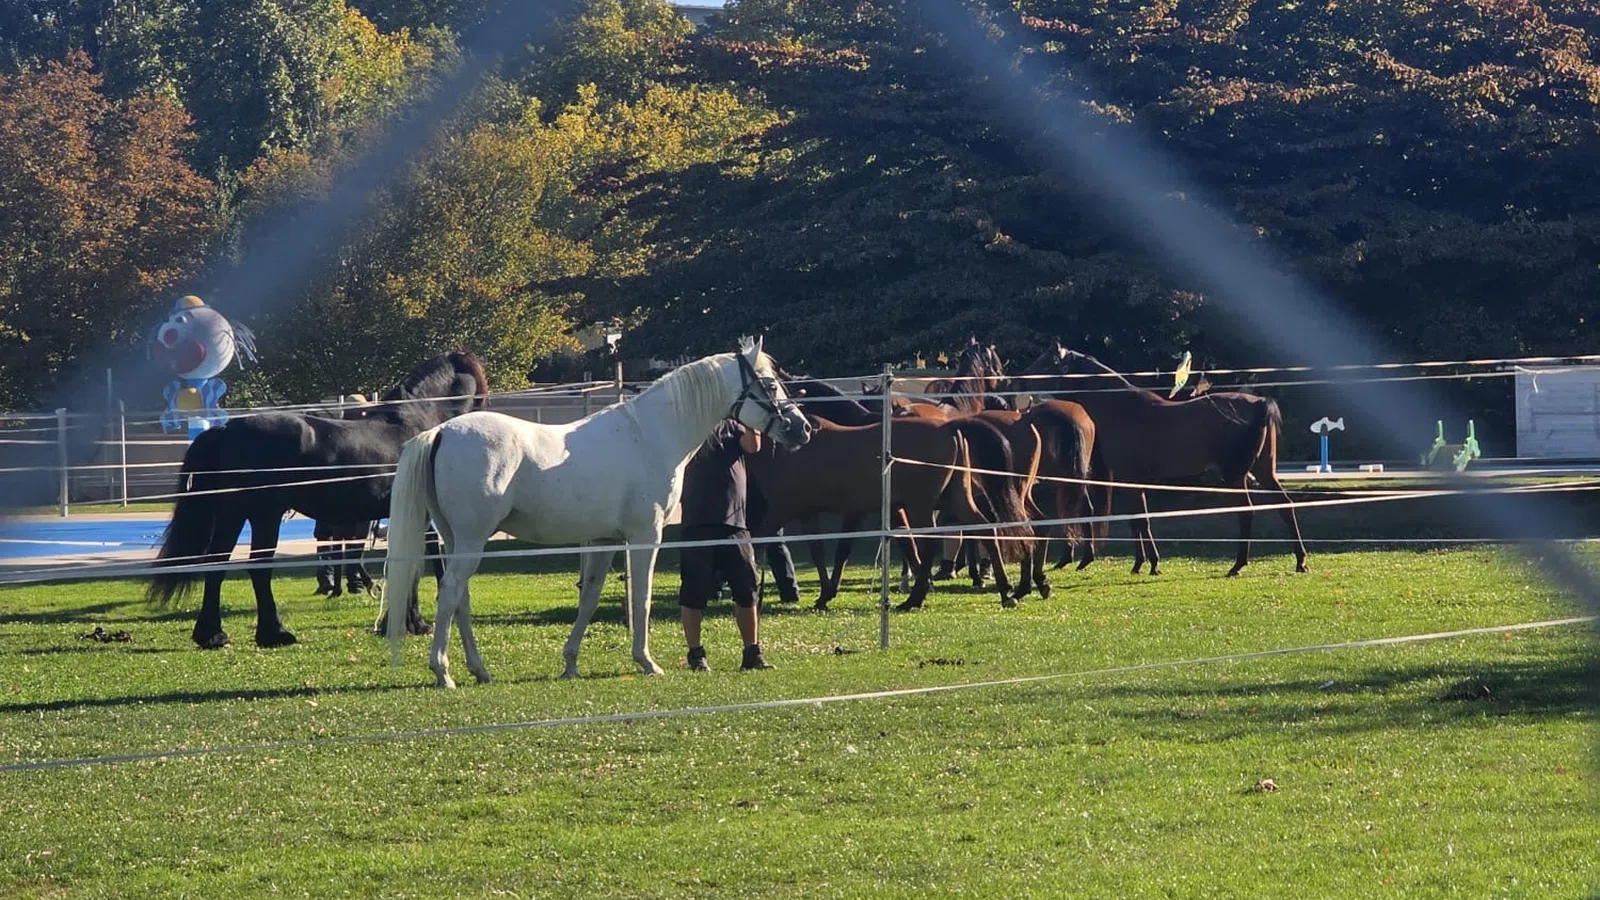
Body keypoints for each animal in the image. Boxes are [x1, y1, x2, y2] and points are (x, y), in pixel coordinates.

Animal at [147, 349, 490, 648]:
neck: (414, 420)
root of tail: (228, 428)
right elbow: (425, 561)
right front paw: (416, 623)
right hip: (264, 513)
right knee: (258, 568)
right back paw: (273, 633)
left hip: (236, 514)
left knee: (217, 565)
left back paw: (213, 635)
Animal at [380, 337, 813, 687]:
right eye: (769, 384)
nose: (802, 429)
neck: (650, 434)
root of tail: (441, 432)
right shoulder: (645, 537)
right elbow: (642, 598)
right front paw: (646, 662)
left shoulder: (604, 540)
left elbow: (589, 597)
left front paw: (570, 663)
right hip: (472, 540)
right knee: (451, 593)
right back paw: (443, 672)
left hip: (456, 539)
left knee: (460, 598)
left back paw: (480, 670)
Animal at [1021, 339, 1308, 576]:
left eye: (1047, 362)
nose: (1017, 383)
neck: (1120, 409)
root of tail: (1259, 403)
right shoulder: (1131, 484)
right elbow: (1137, 520)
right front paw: (1141, 564)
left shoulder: (1130, 482)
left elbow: (1140, 521)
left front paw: (1151, 564)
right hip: (1263, 471)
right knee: (1285, 506)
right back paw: (1300, 561)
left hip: (1235, 477)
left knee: (1246, 513)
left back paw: (1238, 565)